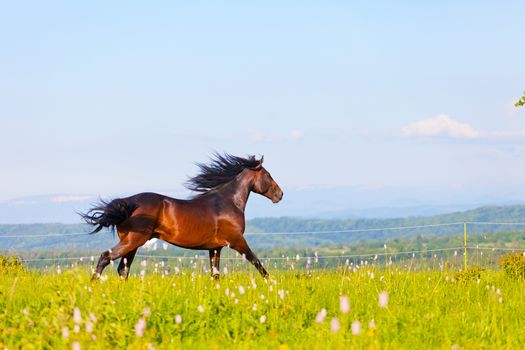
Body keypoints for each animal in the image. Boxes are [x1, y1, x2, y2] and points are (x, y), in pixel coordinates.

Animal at [80, 154, 282, 280]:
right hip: (133, 240)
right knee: (106, 257)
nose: (280, 195)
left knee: (123, 269)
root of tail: (129, 202)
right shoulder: (236, 240)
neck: (226, 202)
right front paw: (271, 283)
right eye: (268, 175)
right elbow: (258, 263)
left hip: (132, 243)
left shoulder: (215, 247)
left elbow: (215, 274)